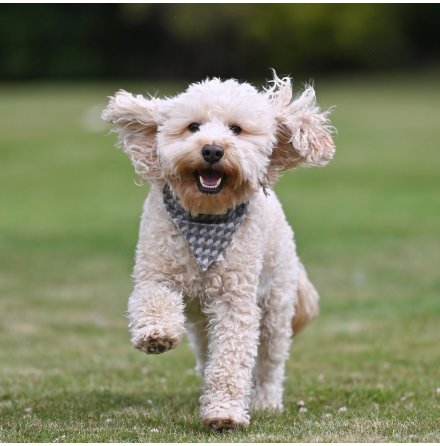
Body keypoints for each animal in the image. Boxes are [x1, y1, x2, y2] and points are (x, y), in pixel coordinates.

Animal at [101, 71, 336, 430]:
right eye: (193, 127)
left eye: (236, 129)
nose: (212, 149)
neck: (205, 216)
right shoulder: (156, 271)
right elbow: (154, 299)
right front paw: (157, 335)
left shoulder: (234, 301)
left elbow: (231, 357)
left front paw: (224, 413)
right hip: (200, 323)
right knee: (205, 352)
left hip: (275, 306)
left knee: (270, 362)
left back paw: (265, 401)